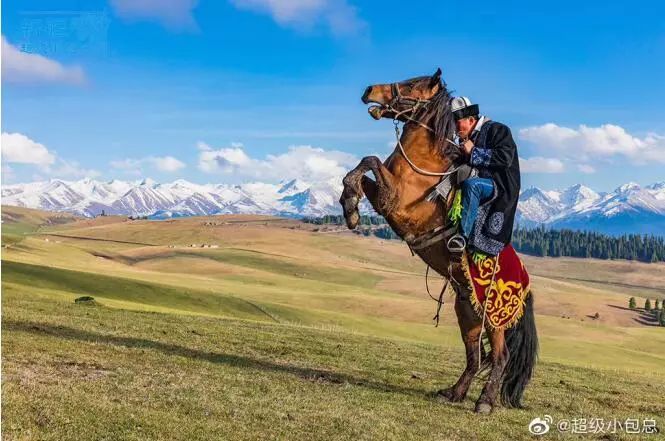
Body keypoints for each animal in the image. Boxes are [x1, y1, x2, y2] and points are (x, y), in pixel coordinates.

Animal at [340, 68, 536, 412]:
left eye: (411, 84)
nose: (368, 90)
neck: (424, 163)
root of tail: (525, 287)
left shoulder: (395, 200)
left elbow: (370, 160)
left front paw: (350, 206)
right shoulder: (384, 196)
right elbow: (362, 168)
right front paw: (349, 205)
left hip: (494, 319)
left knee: (500, 357)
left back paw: (484, 403)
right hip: (468, 313)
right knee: (475, 357)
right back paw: (453, 393)